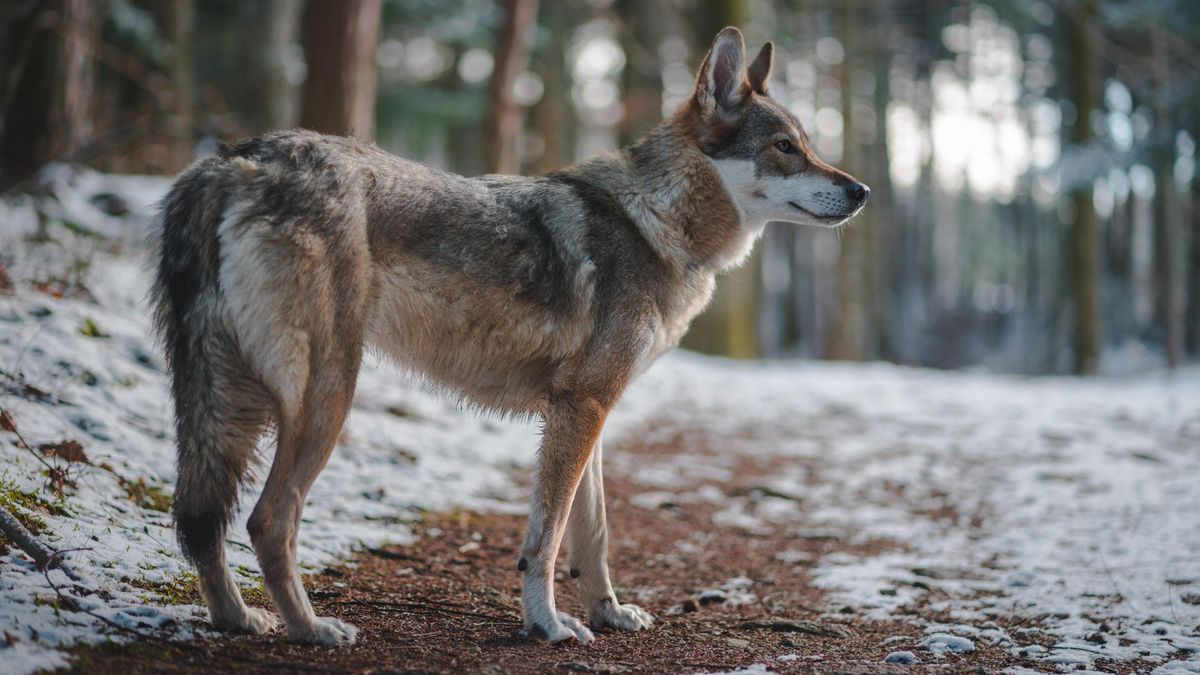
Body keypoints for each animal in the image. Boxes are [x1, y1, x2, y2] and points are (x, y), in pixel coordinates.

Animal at [150, 27, 868, 648]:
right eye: (785, 147)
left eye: (807, 143)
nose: (861, 190)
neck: (655, 221)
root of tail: (233, 159)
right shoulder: (581, 407)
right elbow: (545, 540)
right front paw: (547, 625)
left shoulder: (589, 410)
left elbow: (593, 534)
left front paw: (608, 613)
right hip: (325, 396)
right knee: (267, 520)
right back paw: (311, 628)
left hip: (226, 401)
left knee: (200, 517)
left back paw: (237, 619)